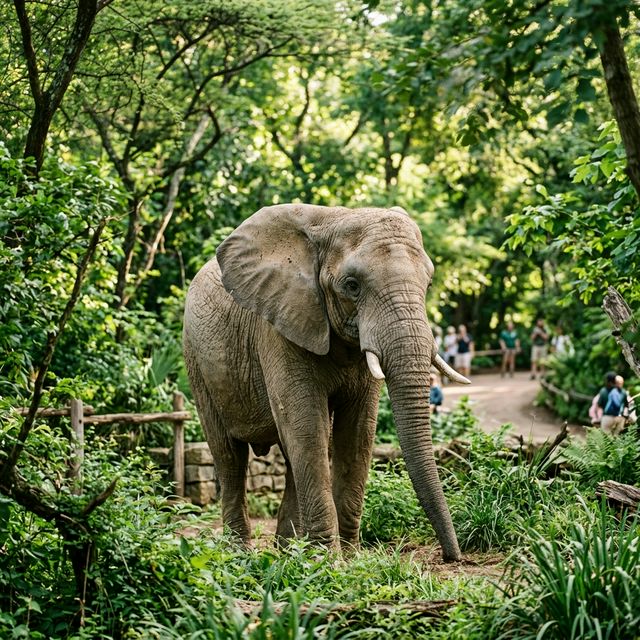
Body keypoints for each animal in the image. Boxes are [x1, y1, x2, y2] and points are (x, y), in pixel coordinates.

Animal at [183, 203, 469, 562]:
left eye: (428, 284)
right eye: (352, 285)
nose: (452, 557)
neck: (333, 218)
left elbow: (358, 432)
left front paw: (348, 557)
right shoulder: (279, 327)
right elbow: (307, 426)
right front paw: (327, 561)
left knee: (287, 456)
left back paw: (289, 551)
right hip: (196, 361)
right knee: (229, 456)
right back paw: (241, 554)